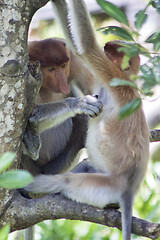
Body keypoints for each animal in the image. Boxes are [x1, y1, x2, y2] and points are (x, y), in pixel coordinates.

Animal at [23, 0, 149, 240]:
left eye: (116, 50)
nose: (107, 44)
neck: (127, 80)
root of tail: (128, 190)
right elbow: (75, 45)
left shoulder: (108, 73)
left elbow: (86, 45)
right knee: (86, 164)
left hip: (102, 186)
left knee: (65, 181)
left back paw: (29, 185)